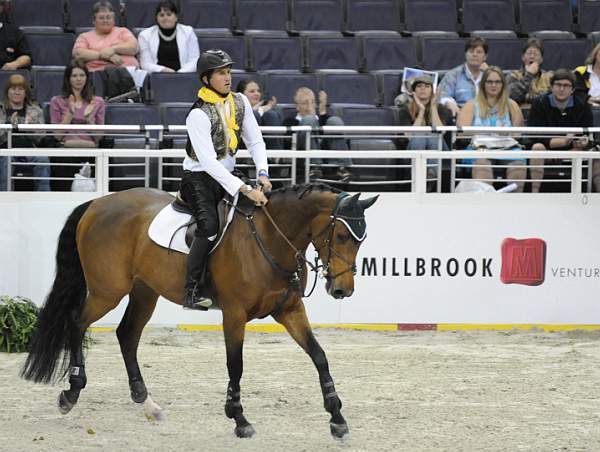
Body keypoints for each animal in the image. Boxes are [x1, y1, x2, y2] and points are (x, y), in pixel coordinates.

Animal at [22, 183, 380, 438]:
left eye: (361, 240)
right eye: (342, 235)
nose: (342, 290)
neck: (269, 239)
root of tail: (97, 204)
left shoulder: (289, 309)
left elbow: (319, 355)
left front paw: (337, 417)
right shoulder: (234, 314)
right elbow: (235, 365)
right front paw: (239, 419)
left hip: (145, 291)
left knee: (127, 334)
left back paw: (147, 403)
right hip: (106, 291)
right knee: (77, 322)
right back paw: (71, 393)